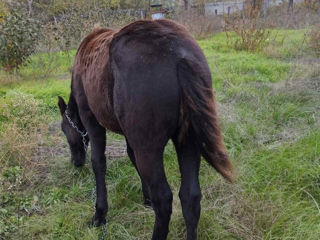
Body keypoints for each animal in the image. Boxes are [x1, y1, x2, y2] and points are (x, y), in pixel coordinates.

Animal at [57, 19, 232, 240]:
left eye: (64, 129)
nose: (76, 161)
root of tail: (178, 53)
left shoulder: (92, 120)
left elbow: (98, 163)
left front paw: (100, 214)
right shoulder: (130, 135)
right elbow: (131, 157)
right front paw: (146, 198)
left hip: (149, 148)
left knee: (164, 199)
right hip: (188, 141)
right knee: (190, 196)